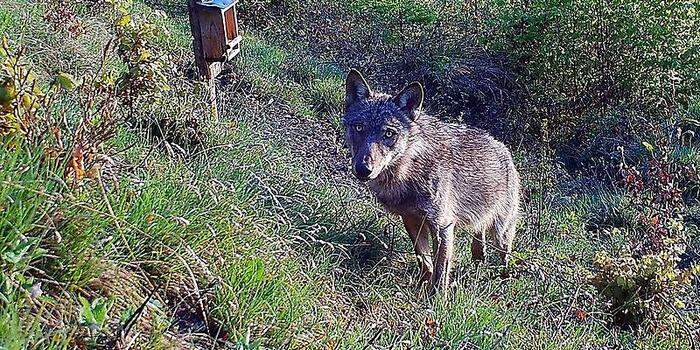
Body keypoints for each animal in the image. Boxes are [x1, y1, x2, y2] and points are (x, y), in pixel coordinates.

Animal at [340, 69, 520, 292]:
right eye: (359, 127)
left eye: (388, 133)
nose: (364, 169)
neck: (408, 171)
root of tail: (504, 149)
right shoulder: (411, 220)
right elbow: (424, 261)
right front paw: (422, 286)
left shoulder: (443, 226)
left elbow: (441, 269)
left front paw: (436, 298)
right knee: (479, 242)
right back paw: (479, 263)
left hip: (501, 232)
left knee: (504, 255)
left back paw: (503, 279)